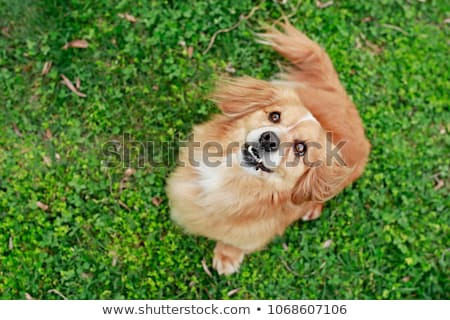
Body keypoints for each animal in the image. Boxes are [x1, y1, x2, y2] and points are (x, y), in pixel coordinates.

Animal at [165, 23, 370, 276]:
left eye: (300, 148)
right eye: (274, 116)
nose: (269, 139)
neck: (229, 179)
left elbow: (234, 242)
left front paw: (227, 256)